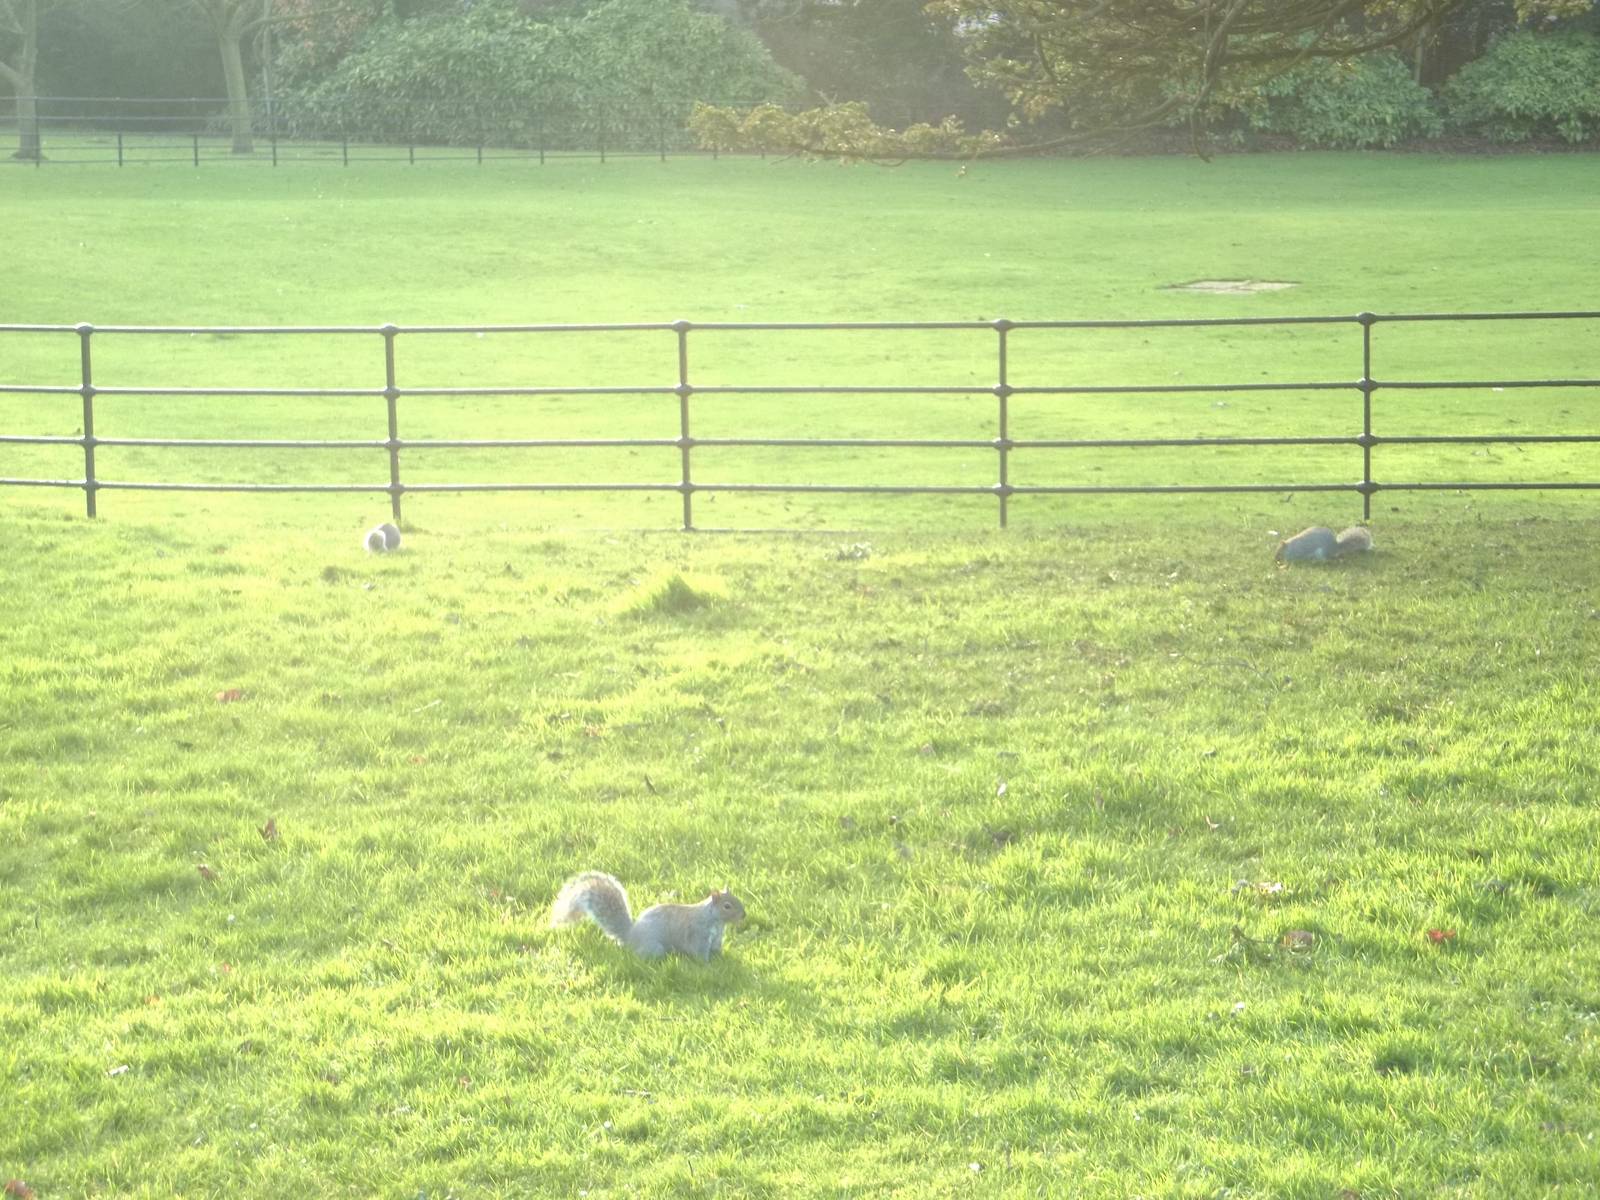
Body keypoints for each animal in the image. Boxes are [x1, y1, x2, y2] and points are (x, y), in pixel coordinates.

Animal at [550, 871, 746, 962]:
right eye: (727, 906)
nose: (744, 915)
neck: (715, 921)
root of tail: (631, 936)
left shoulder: (716, 938)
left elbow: (716, 949)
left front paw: (721, 959)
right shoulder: (698, 935)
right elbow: (700, 952)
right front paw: (708, 966)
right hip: (654, 947)